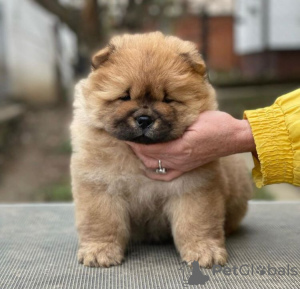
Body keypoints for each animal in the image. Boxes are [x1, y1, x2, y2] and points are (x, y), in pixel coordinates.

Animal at [71, 31, 253, 268]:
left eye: (168, 99)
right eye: (125, 97)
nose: (144, 119)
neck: (136, 158)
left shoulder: (193, 187)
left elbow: (197, 222)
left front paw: (205, 252)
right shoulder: (100, 184)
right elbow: (101, 221)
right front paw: (99, 251)